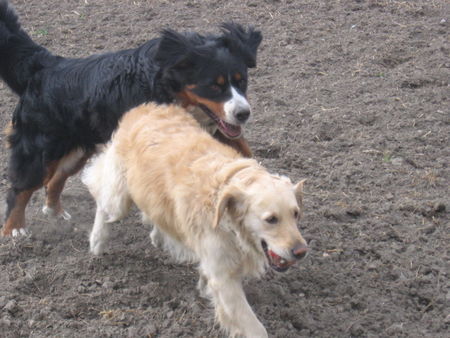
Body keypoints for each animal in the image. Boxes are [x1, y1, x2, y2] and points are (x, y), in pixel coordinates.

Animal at [0, 0, 262, 236]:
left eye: (242, 81)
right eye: (214, 86)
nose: (243, 113)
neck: (167, 87)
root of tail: (44, 66)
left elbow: (243, 152)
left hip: (77, 149)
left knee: (54, 180)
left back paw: (55, 211)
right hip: (41, 150)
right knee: (20, 188)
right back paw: (14, 229)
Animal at [81, 103, 308, 338]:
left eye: (295, 214)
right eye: (271, 219)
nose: (301, 251)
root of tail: (143, 108)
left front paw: (203, 287)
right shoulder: (224, 279)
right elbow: (254, 327)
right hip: (118, 199)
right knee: (101, 200)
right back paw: (97, 241)